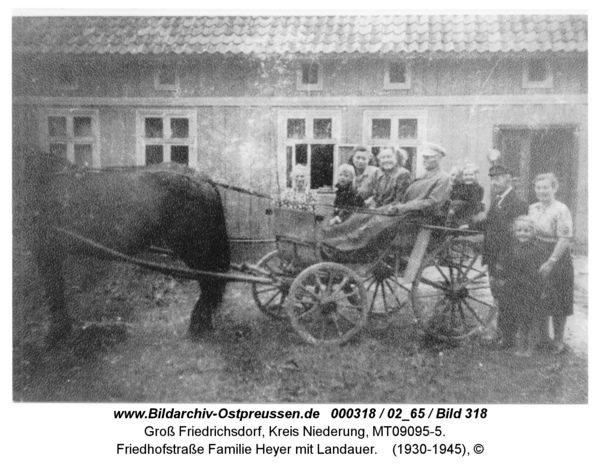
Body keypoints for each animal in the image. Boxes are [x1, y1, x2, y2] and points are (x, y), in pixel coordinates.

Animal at [23, 151, 230, 344]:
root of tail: (202, 179)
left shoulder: (46, 251)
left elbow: (54, 291)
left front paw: (56, 334)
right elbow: (55, 290)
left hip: (195, 249)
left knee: (209, 282)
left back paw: (198, 325)